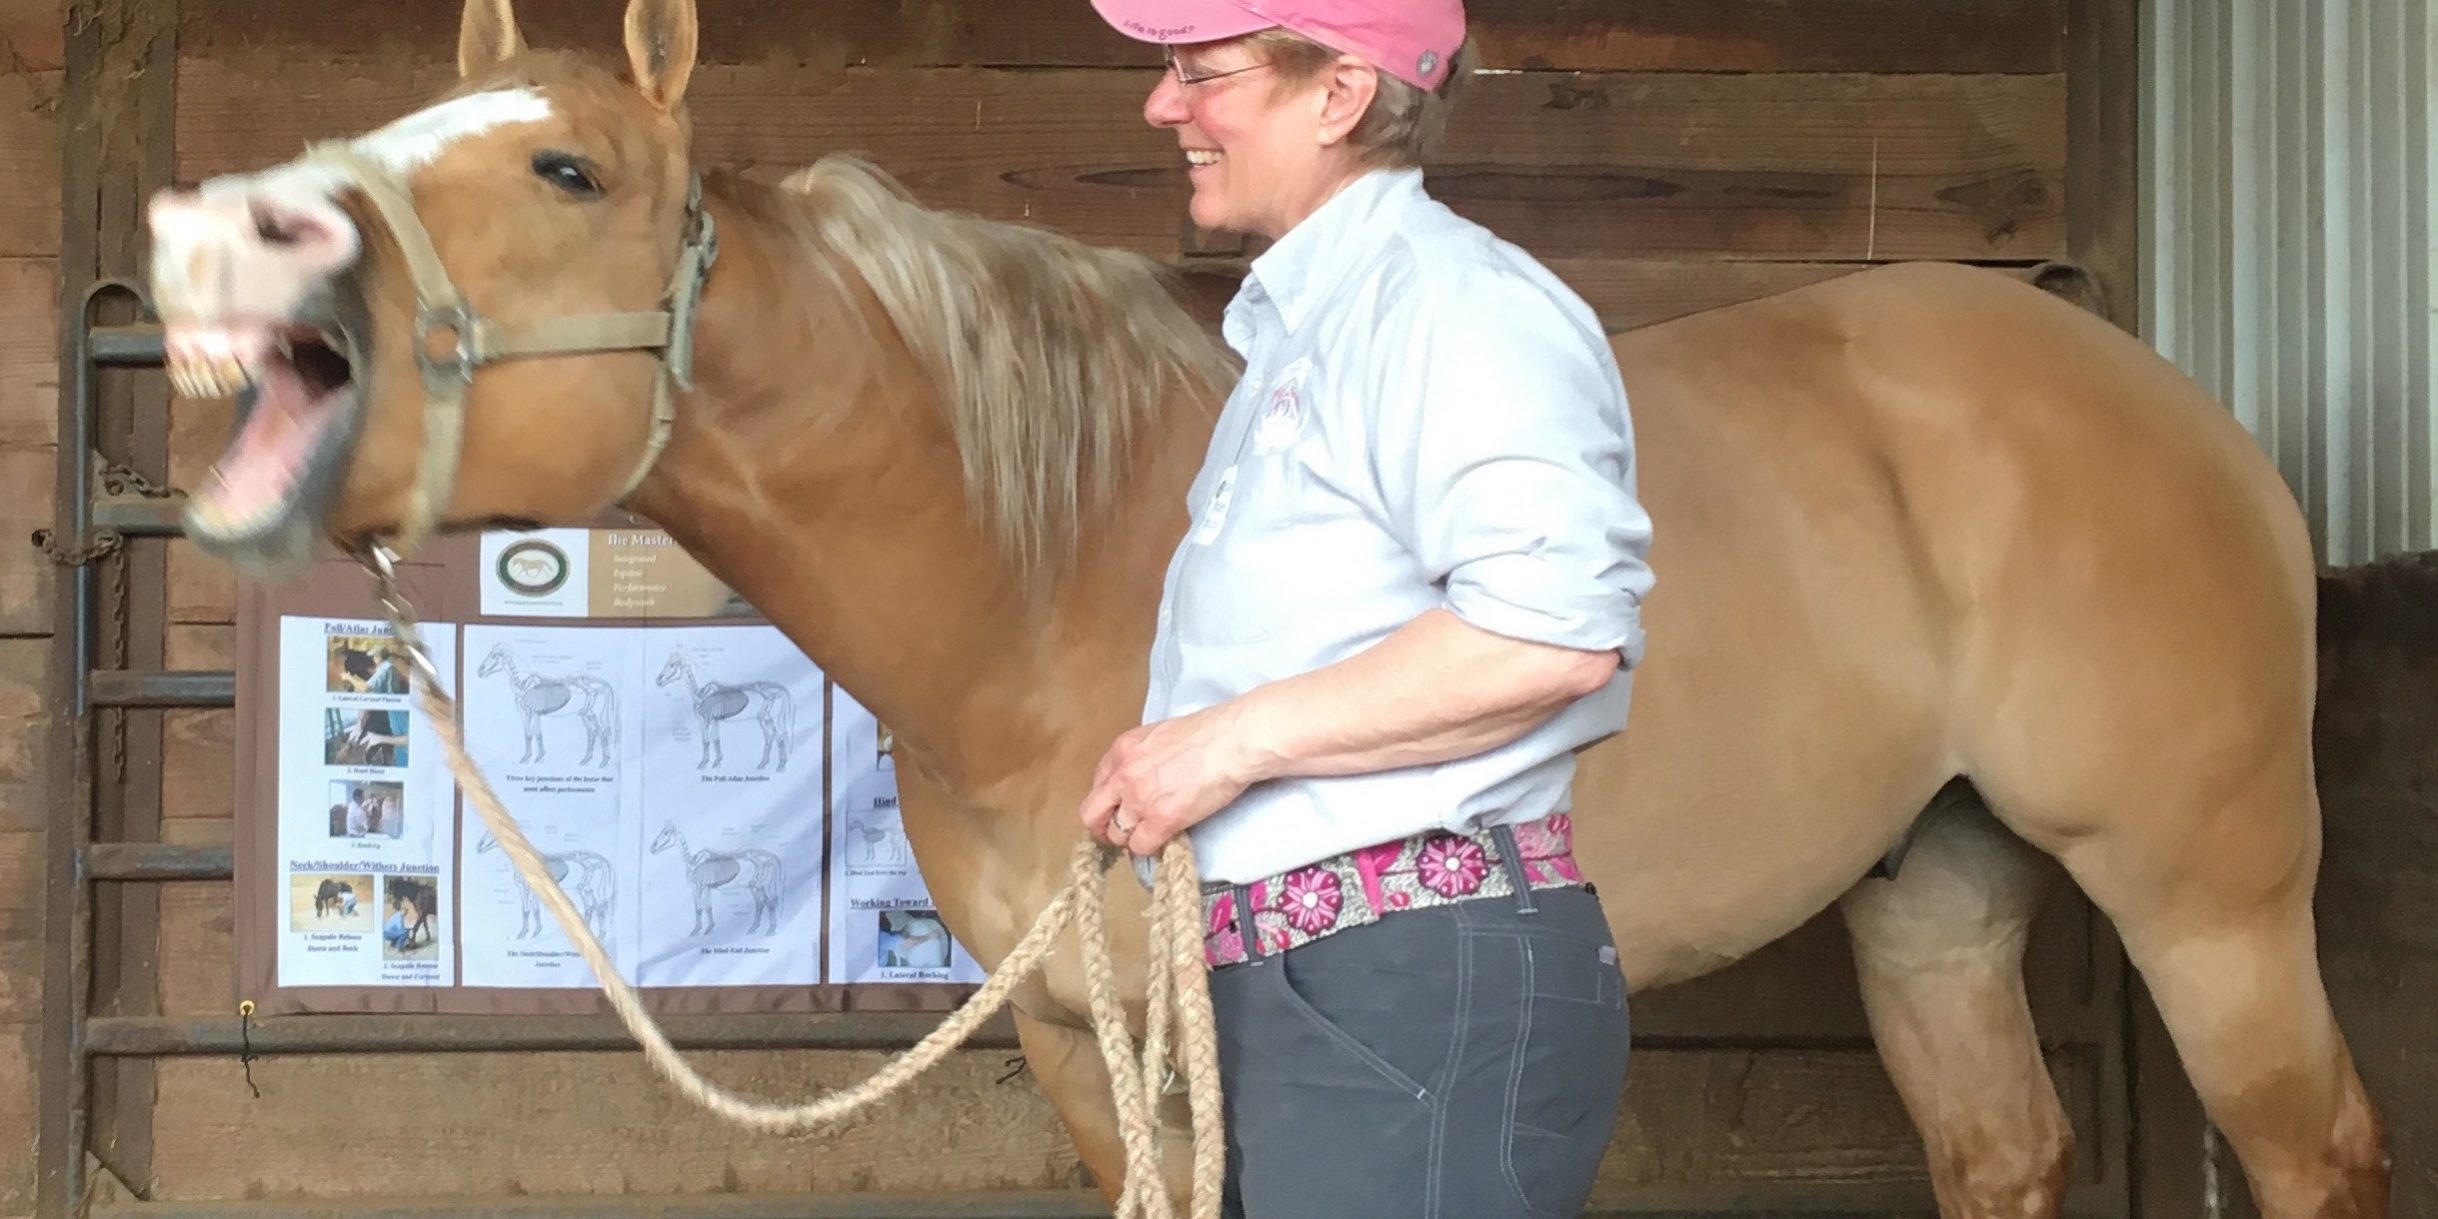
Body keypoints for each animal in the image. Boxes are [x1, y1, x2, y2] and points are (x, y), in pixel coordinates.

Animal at [141, 1, 2389, 1214]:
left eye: (572, 172)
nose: (238, 267)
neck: (1037, 569)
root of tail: (2166, 395)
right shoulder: (1072, 1031)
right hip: (1937, 889)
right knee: (2002, 1148)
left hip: (2205, 894)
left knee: (2315, 1148)